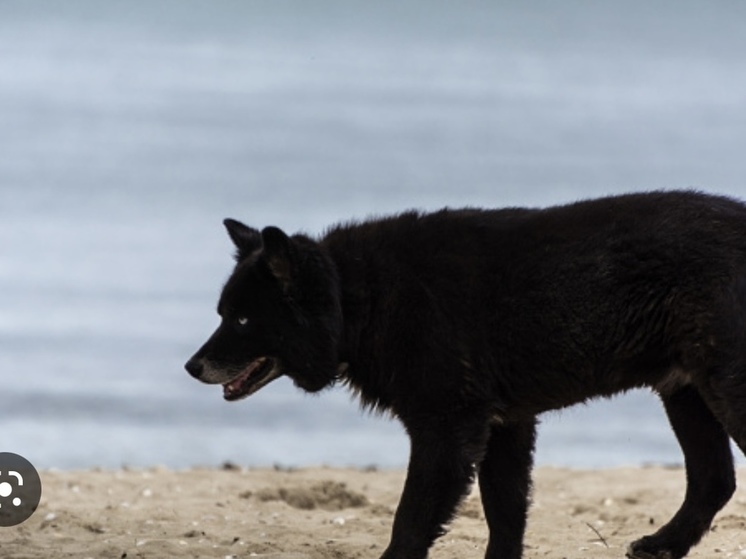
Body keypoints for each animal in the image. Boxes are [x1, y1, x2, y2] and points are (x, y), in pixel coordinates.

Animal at [185, 190, 744, 556]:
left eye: (242, 319)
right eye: (223, 313)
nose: (191, 367)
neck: (360, 298)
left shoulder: (447, 434)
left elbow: (410, 522)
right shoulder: (505, 427)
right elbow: (506, 515)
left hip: (721, 390)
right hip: (686, 393)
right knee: (713, 480)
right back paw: (662, 544)